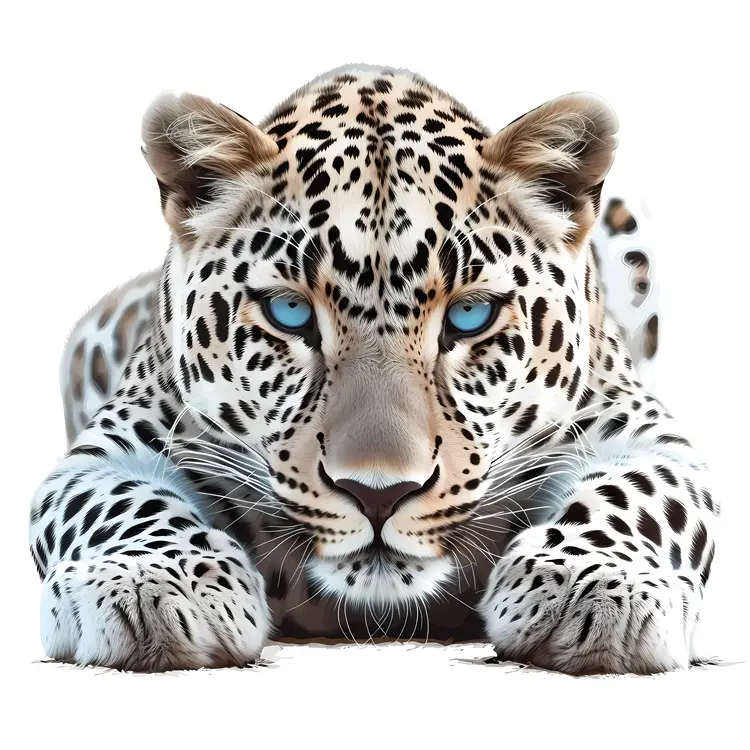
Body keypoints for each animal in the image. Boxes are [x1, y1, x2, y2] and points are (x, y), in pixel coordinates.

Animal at [29, 64, 716, 674]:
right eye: (288, 312)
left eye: (469, 315)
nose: (378, 495)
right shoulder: (115, 442)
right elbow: (119, 499)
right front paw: (156, 582)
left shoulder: (635, 427)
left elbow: (636, 491)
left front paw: (594, 584)